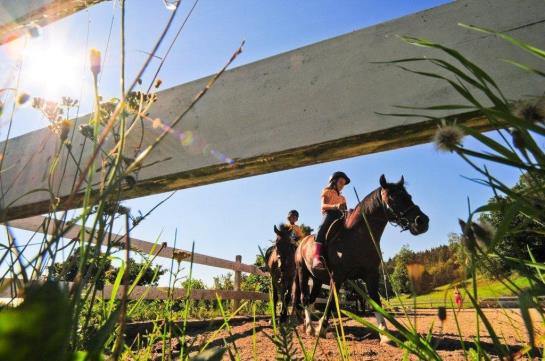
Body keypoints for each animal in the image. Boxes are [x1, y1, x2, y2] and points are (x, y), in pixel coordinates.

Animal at [294, 174, 430, 340]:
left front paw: (384, 333)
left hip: (317, 279)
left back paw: (311, 328)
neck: (356, 237)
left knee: (312, 300)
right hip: (303, 273)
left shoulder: (371, 275)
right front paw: (322, 327)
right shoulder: (337, 277)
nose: (422, 221)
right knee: (305, 299)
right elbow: (332, 302)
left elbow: (375, 300)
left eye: (409, 196)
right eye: (392, 198)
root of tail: (302, 243)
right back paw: (309, 327)